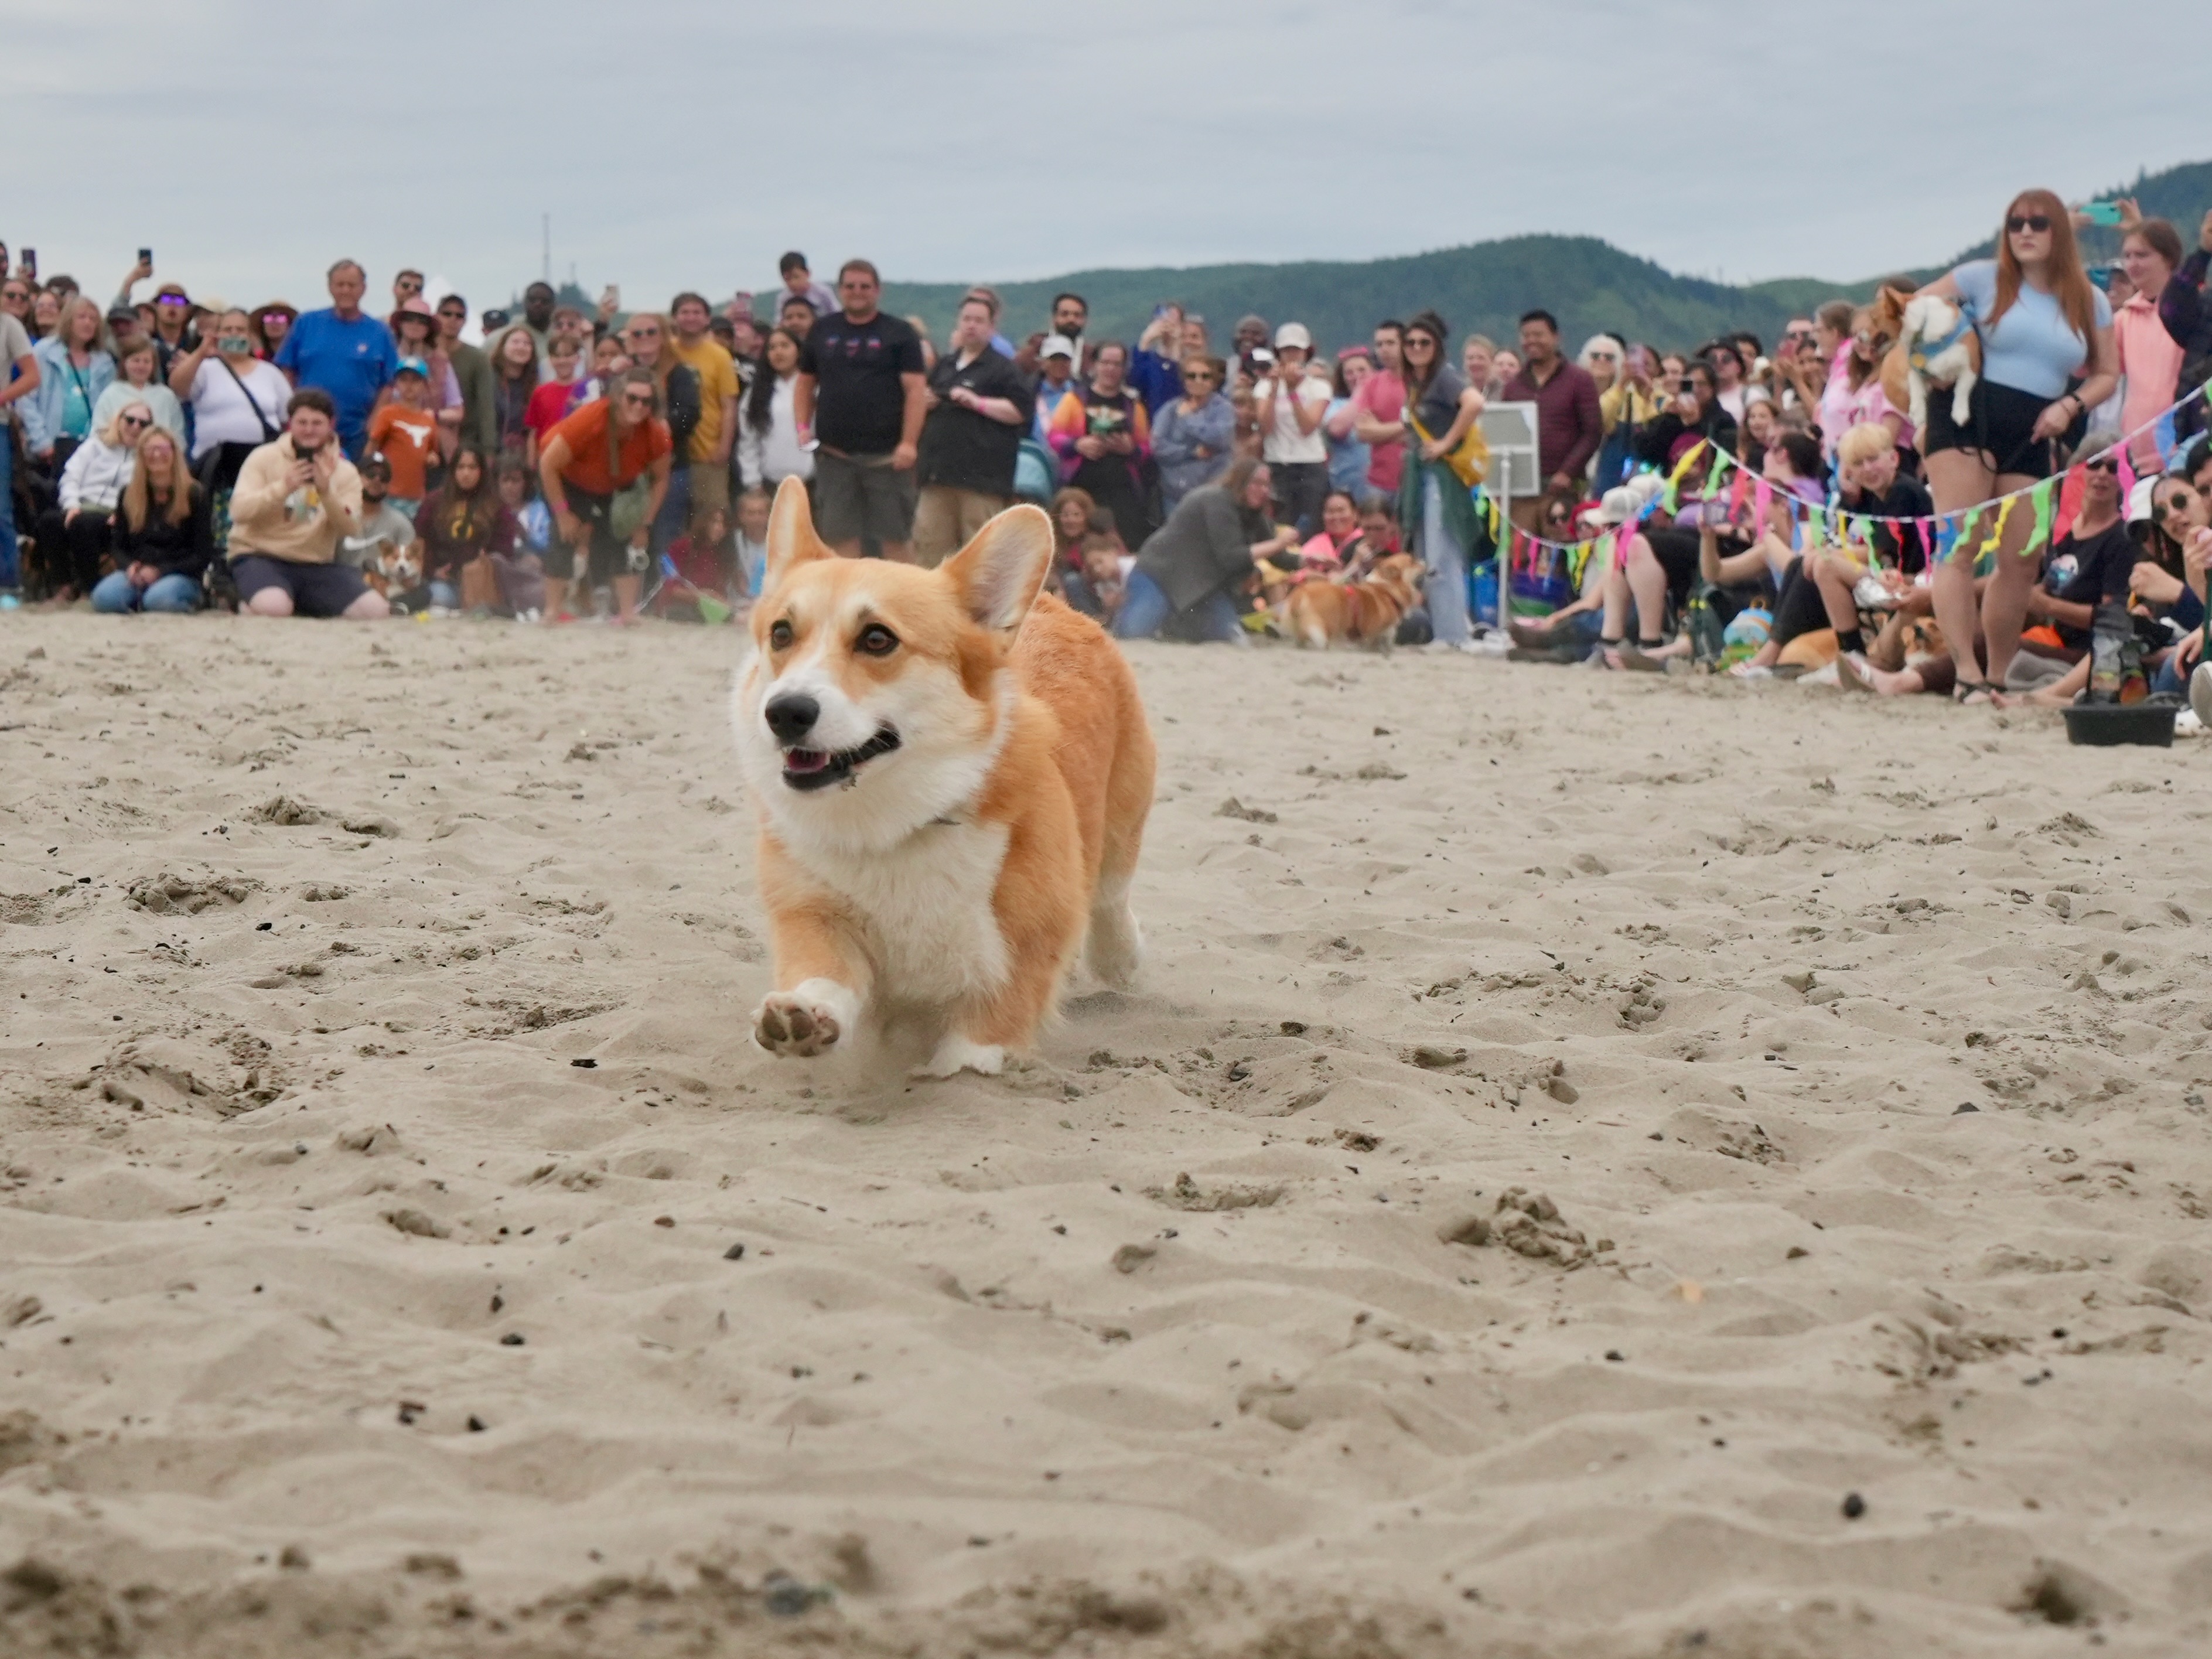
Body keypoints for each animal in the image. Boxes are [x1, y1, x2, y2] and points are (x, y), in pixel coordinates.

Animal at [739, 480, 1168, 1079]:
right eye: (781, 633)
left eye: (877, 639)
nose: (784, 712)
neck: (894, 825)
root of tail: (1054, 604)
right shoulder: (814, 913)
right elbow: (823, 976)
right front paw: (803, 1018)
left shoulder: (1016, 956)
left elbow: (971, 1054)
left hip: (1121, 824)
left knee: (1110, 896)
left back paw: (1120, 958)